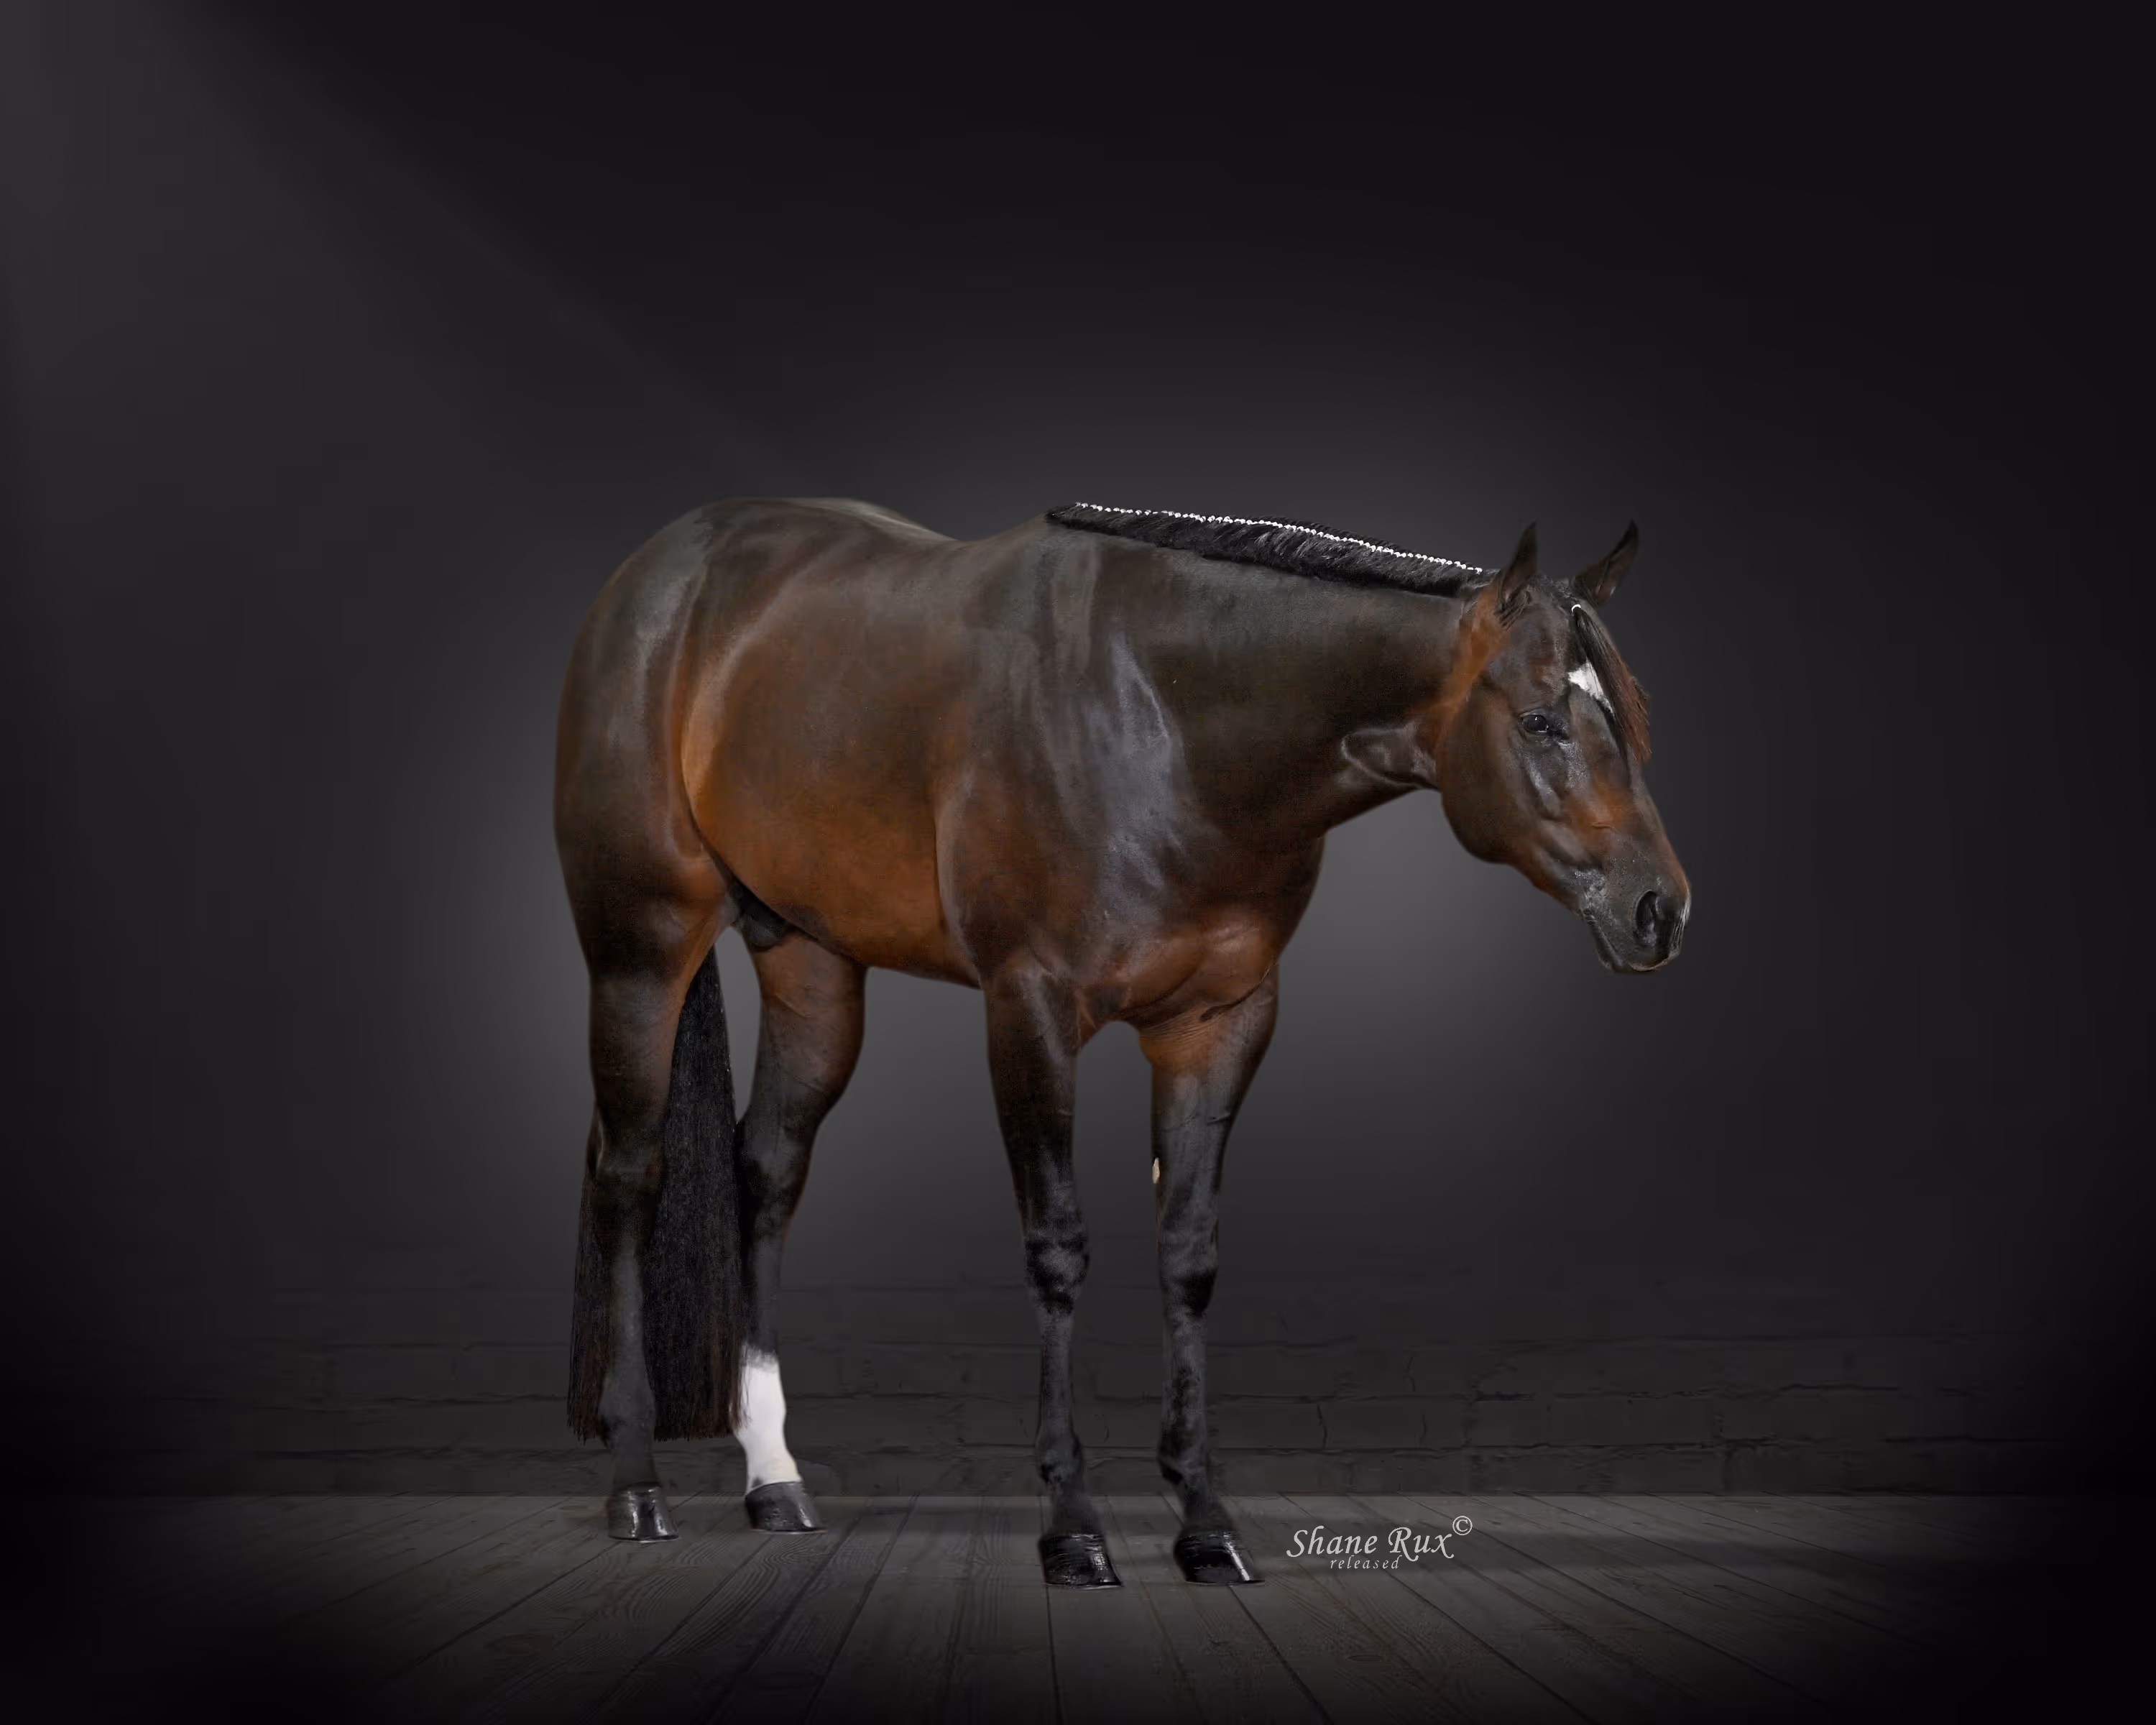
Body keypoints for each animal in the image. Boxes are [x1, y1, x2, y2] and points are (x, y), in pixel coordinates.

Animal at [553, 497, 1689, 1586]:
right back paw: (636, 1483)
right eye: (1541, 720)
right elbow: (1059, 1248)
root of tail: (660, 574)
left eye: (1633, 720)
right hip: (641, 949)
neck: (1168, 722)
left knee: (768, 1170)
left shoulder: (1217, 1026)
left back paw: (774, 1476)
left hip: (812, 964)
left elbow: (1187, 1255)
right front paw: (1072, 1528)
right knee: (632, 1175)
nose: (1660, 910)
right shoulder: (1029, 1009)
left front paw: (1204, 1525)